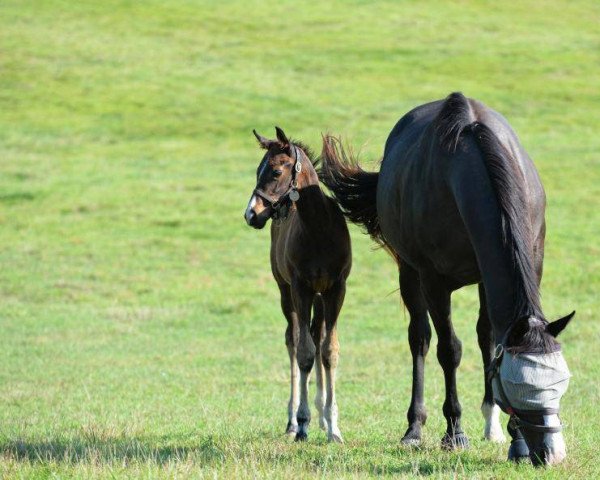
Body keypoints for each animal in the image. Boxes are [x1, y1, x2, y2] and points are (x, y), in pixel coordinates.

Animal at [244, 126, 352, 442]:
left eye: (276, 171)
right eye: (258, 170)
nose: (251, 214)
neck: (319, 229)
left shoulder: (336, 288)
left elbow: (328, 350)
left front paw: (333, 425)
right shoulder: (299, 287)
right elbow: (303, 352)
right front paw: (302, 422)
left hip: (319, 295)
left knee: (317, 336)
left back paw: (323, 417)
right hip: (285, 291)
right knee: (293, 339)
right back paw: (293, 420)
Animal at [322, 93, 576, 464]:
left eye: (560, 384)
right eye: (519, 387)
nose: (553, 453)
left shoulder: (521, 264)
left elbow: (492, 342)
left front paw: (514, 442)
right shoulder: (433, 280)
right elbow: (449, 350)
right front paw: (454, 432)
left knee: (485, 335)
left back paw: (491, 425)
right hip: (410, 273)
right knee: (420, 339)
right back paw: (414, 429)